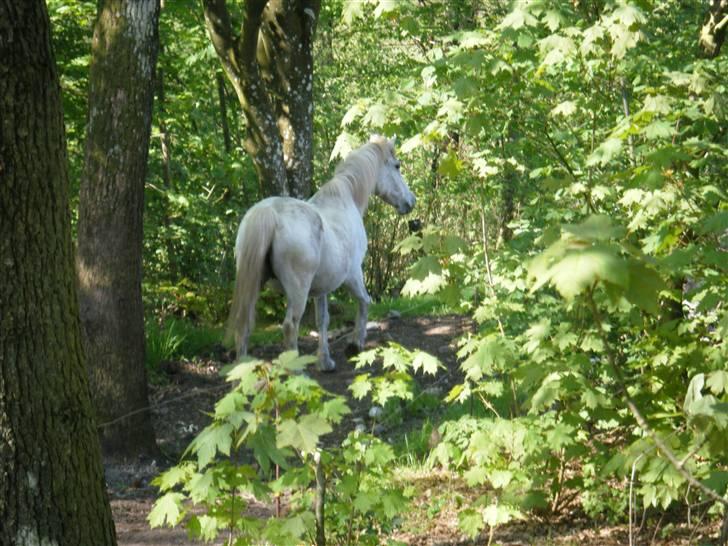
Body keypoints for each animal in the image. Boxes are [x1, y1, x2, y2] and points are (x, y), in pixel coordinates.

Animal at [226, 134, 416, 370]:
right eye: (397, 166)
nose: (411, 201)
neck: (346, 198)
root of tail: (268, 213)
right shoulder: (353, 274)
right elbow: (365, 301)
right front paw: (355, 345)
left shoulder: (321, 288)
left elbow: (322, 319)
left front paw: (325, 360)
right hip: (298, 290)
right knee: (290, 326)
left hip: (255, 285)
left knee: (244, 326)